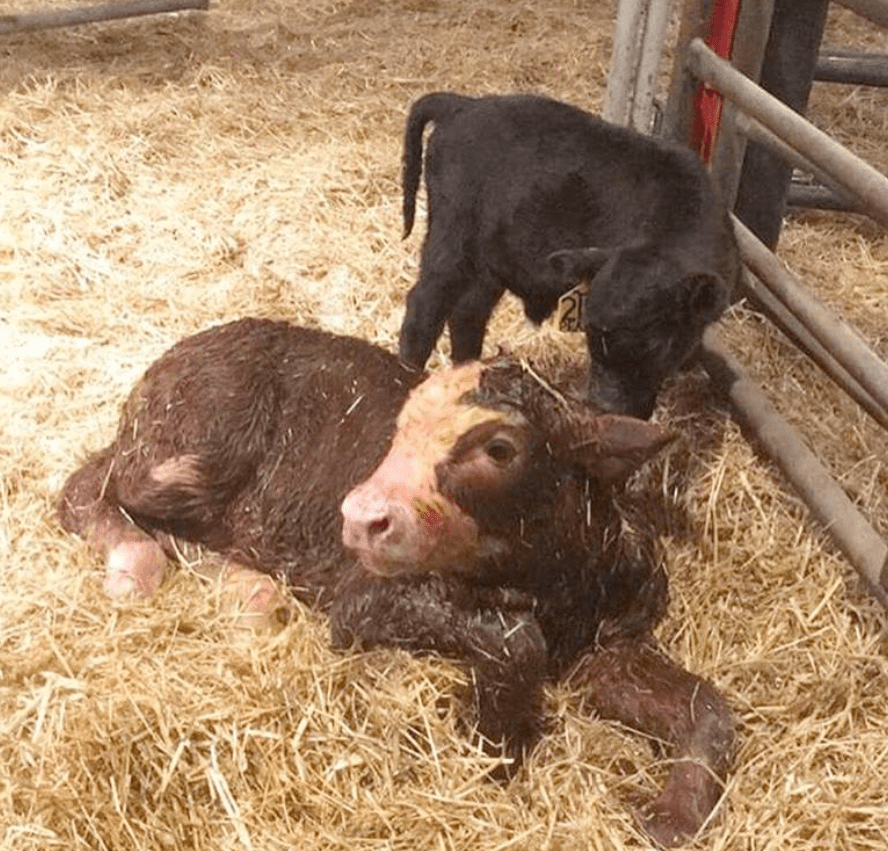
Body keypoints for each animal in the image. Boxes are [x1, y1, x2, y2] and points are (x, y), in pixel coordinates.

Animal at [58, 317, 733, 847]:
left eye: (500, 448)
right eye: (400, 429)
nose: (359, 517)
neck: (546, 580)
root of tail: (170, 360)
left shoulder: (609, 641)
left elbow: (707, 704)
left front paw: (671, 818)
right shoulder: (365, 599)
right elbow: (514, 638)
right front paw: (495, 743)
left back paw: (249, 591)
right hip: (194, 446)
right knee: (92, 483)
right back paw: (144, 567)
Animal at [397, 92, 742, 419]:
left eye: (654, 344)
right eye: (591, 334)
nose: (605, 404)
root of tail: (464, 105)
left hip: (487, 263)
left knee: (467, 314)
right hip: (450, 240)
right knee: (424, 309)